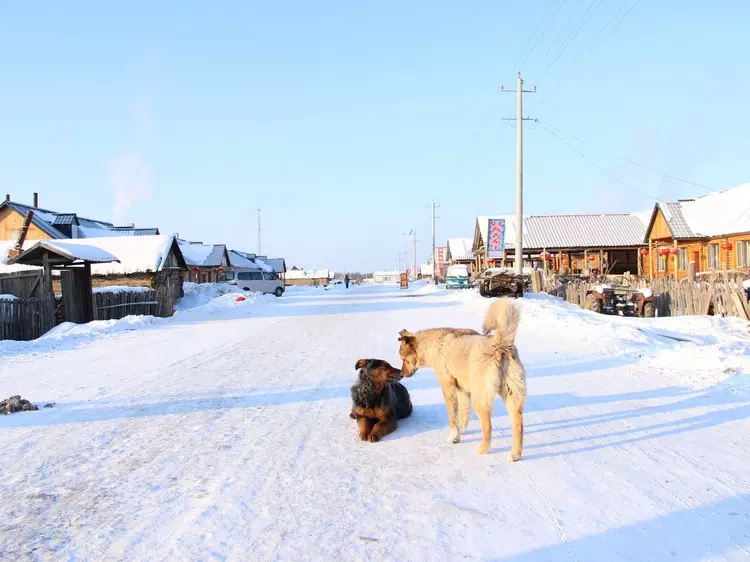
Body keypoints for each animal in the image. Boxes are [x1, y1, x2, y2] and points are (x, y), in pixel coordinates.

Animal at [400, 298, 528, 460]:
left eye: (403, 359)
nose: (402, 374)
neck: (435, 344)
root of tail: (499, 344)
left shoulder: (448, 387)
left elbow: (452, 416)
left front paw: (454, 437)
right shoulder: (463, 390)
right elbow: (463, 413)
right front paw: (461, 431)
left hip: (480, 399)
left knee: (488, 426)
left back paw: (482, 449)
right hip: (512, 396)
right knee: (518, 426)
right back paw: (514, 455)